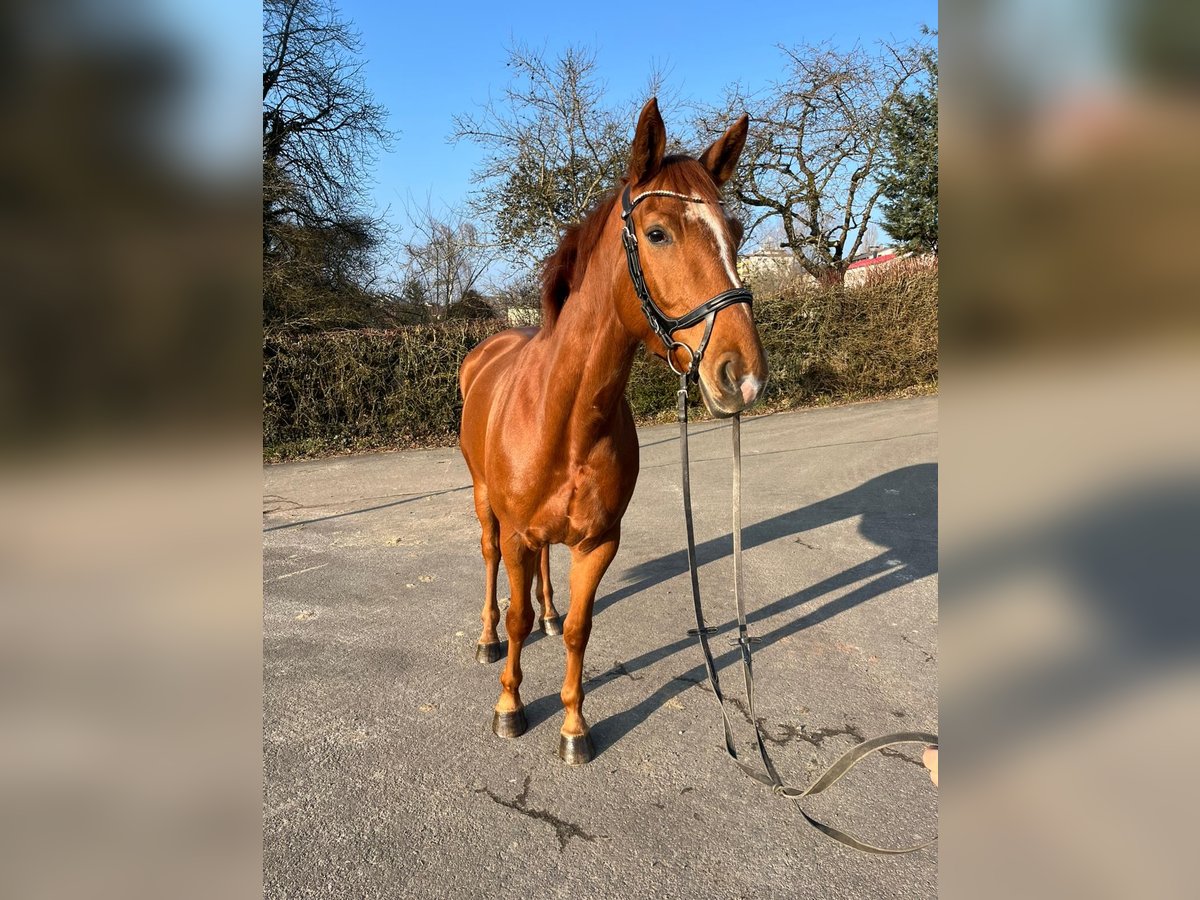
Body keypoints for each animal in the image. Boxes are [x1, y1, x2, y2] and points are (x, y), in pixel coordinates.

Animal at [458, 98, 768, 763]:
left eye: (735, 234)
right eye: (657, 233)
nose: (743, 375)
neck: (567, 416)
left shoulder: (598, 541)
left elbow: (580, 629)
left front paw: (575, 727)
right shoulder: (518, 533)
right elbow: (517, 616)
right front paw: (510, 707)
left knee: (547, 583)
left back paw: (548, 614)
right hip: (485, 503)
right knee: (492, 564)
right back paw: (487, 639)